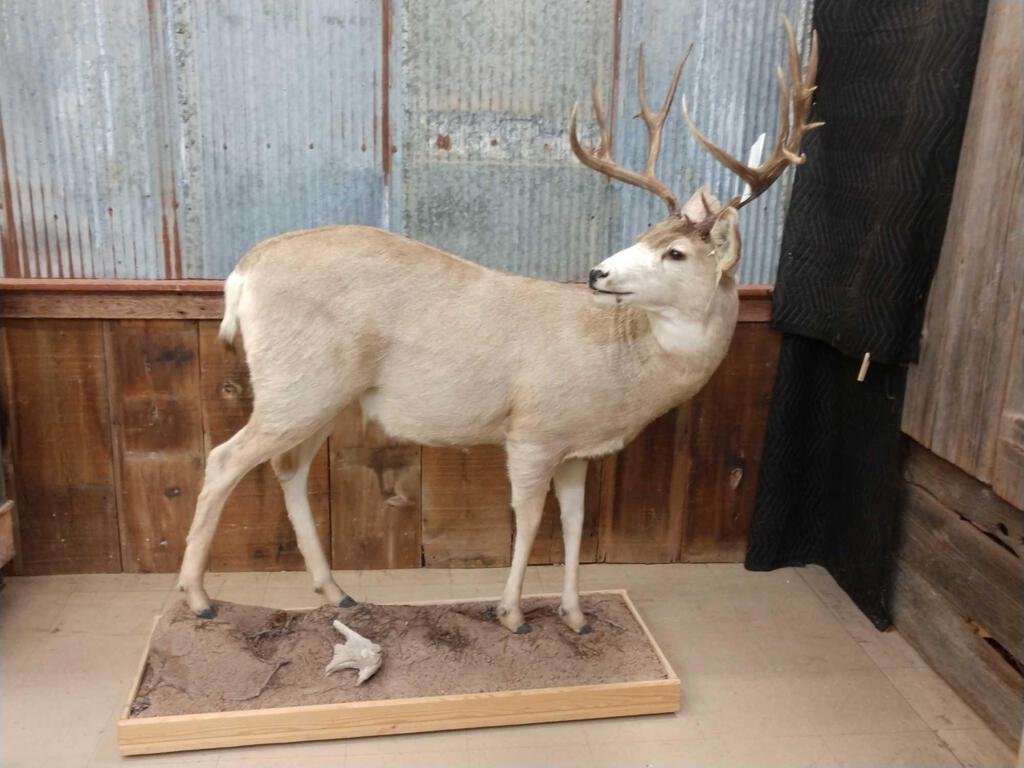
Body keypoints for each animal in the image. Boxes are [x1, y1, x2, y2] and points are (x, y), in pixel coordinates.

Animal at [177, 20, 820, 635]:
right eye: (647, 236)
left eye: (676, 252)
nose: (598, 271)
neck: (617, 361)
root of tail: (243, 272)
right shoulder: (532, 431)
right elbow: (529, 520)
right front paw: (512, 614)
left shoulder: (577, 449)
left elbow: (575, 523)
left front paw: (577, 616)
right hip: (298, 384)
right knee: (224, 459)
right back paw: (198, 599)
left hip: (325, 396)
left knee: (288, 468)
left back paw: (337, 592)